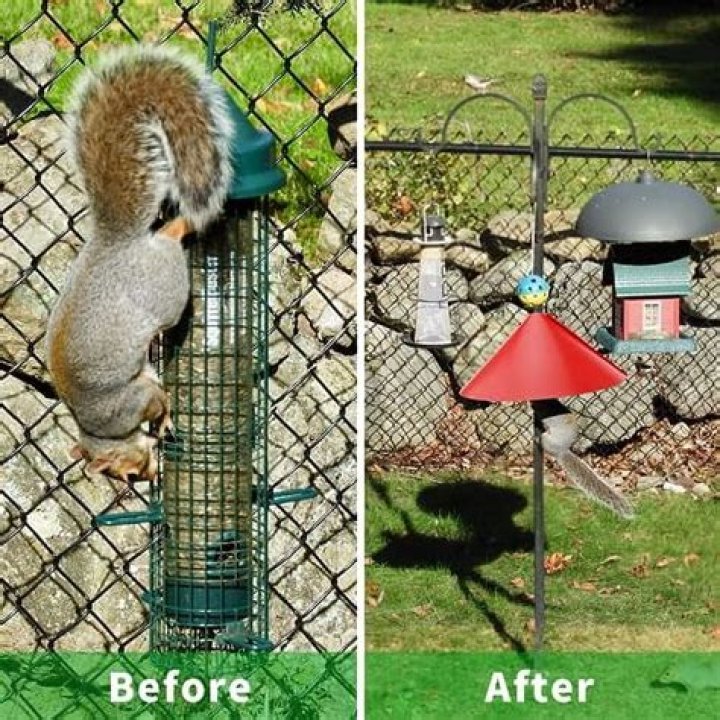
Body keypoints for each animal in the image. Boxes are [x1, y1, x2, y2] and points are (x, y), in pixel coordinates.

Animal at [46, 45, 233, 482]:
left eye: (126, 471)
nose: (148, 476)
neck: (102, 431)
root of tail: (117, 242)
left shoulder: (128, 403)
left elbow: (154, 398)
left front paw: (162, 420)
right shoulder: (138, 384)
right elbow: (152, 379)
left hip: (165, 293)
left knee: (172, 239)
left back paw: (182, 223)